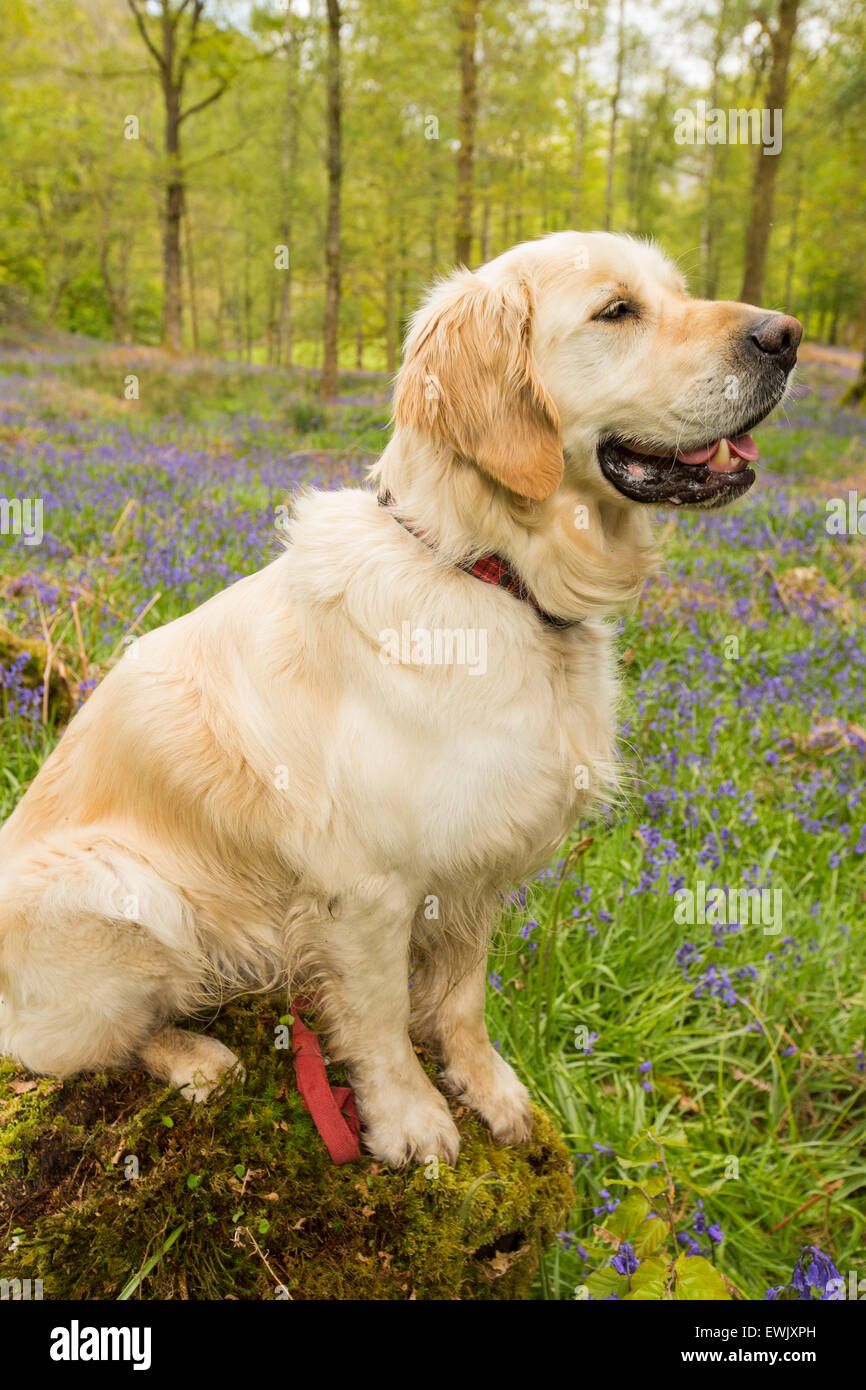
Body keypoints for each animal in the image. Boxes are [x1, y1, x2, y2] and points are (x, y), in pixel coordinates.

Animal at [0, 233, 800, 1167]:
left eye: (677, 291)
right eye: (616, 311)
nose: (784, 336)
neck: (490, 572)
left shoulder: (477, 863)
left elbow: (461, 997)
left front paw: (487, 1088)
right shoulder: (366, 885)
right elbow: (380, 1020)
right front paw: (410, 1120)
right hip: (118, 884)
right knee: (71, 1044)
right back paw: (195, 1057)